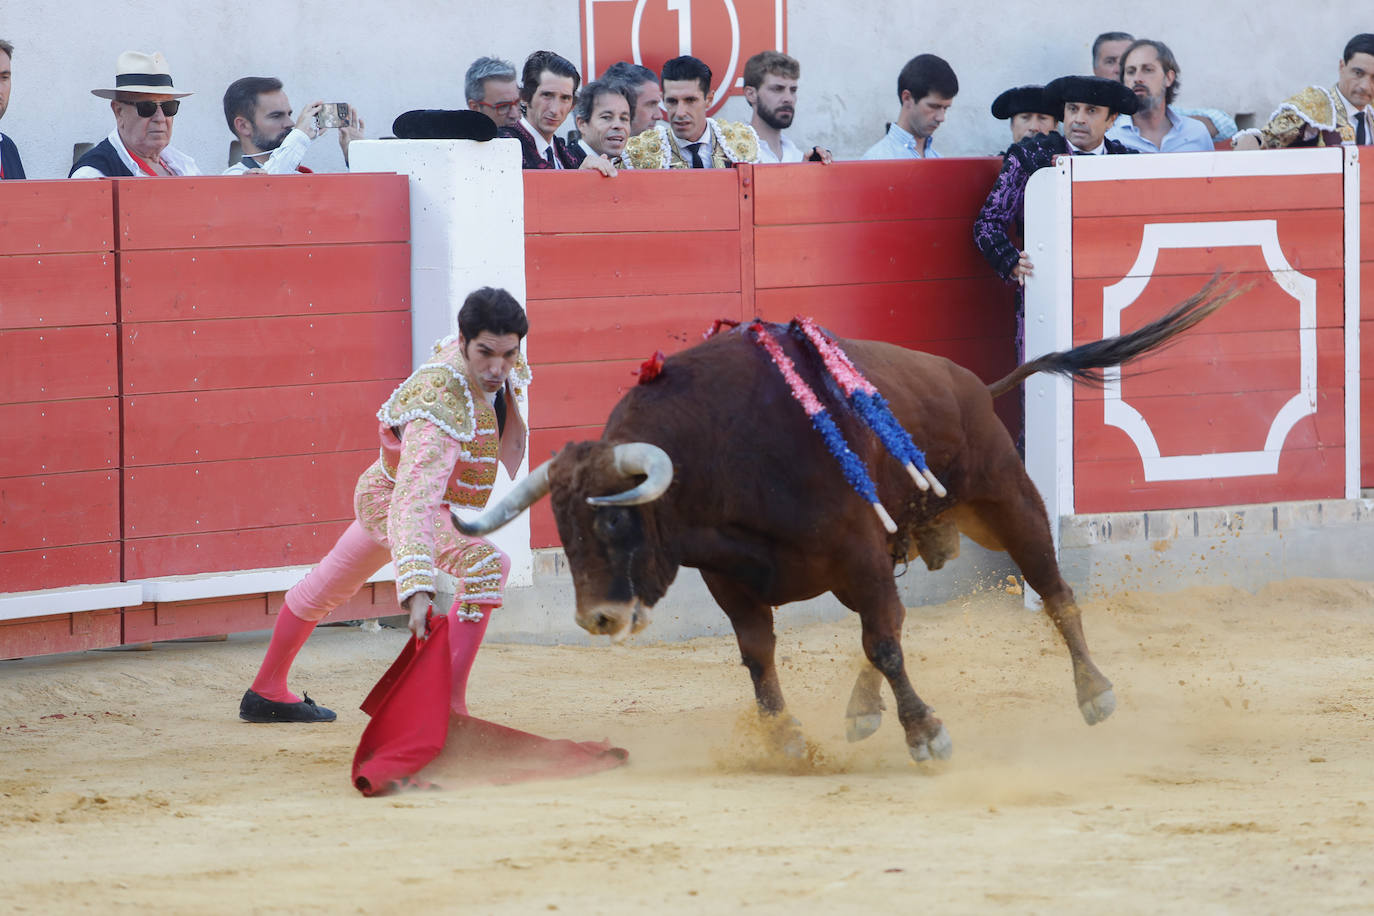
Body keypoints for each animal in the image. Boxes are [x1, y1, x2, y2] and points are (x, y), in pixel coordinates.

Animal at [456, 281, 1242, 769]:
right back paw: (863, 711)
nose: (599, 619)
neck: (722, 458)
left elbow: (885, 642)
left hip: (1006, 501)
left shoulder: (857, 553)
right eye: (564, 533)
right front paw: (785, 741)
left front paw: (926, 733)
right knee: (893, 620)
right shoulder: (737, 582)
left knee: (1052, 592)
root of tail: (974, 384)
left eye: (617, 527)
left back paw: (1094, 693)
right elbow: (765, 657)